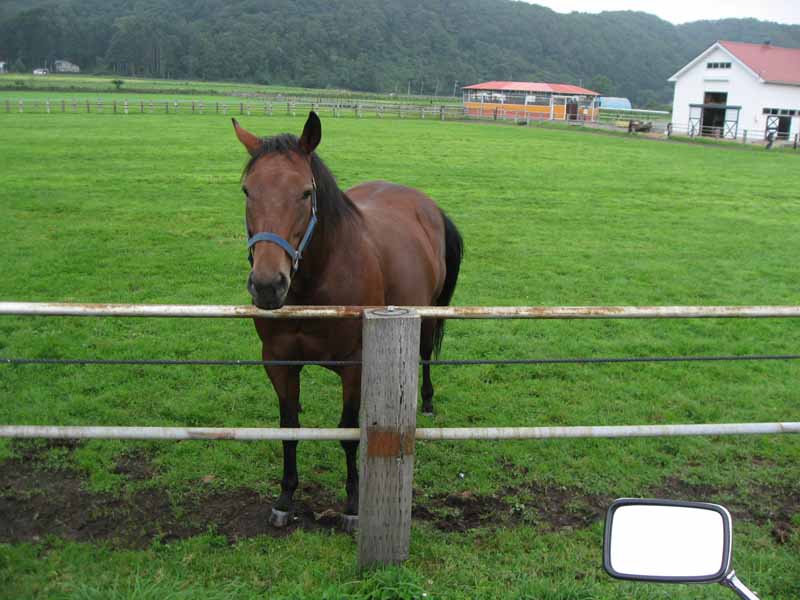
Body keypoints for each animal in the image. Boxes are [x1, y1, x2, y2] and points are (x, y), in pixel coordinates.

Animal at [233, 111, 462, 524]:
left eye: (305, 193)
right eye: (247, 191)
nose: (268, 285)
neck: (316, 283)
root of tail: (427, 205)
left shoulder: (355, 365)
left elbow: (347, 432)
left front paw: (354, 502)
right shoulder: (278, 362)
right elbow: (289, 428)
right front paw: (285, 497)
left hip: (427, 315)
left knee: (423, 354)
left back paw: (427, 400)